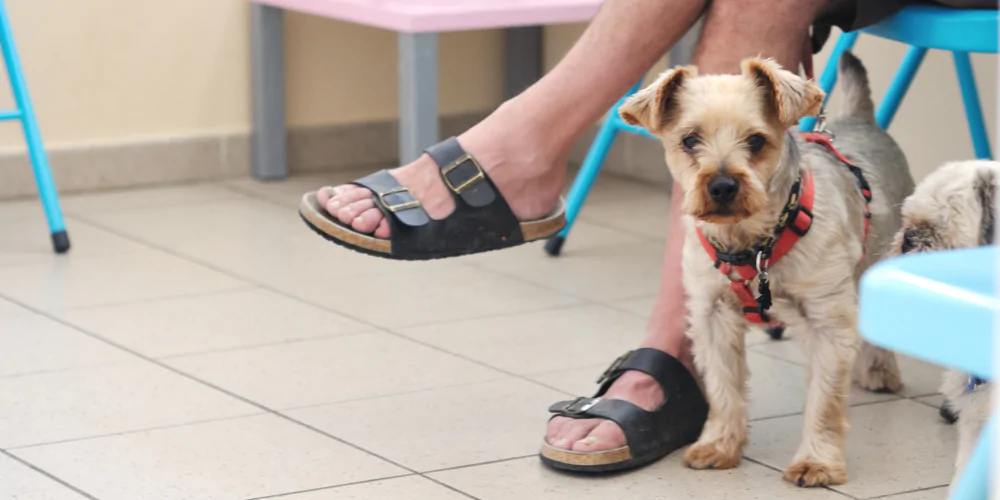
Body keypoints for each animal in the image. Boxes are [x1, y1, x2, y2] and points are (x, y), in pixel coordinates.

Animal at [620, 52, 916, 486]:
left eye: (756, 140)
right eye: (689, 140)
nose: (722, 186)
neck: (753, 244)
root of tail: (862, 119)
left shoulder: (826, 320)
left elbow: (825, 401)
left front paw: (817, 463)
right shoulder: (713, 315)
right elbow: (723, 388)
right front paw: (719, 445)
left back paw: (879, 369)